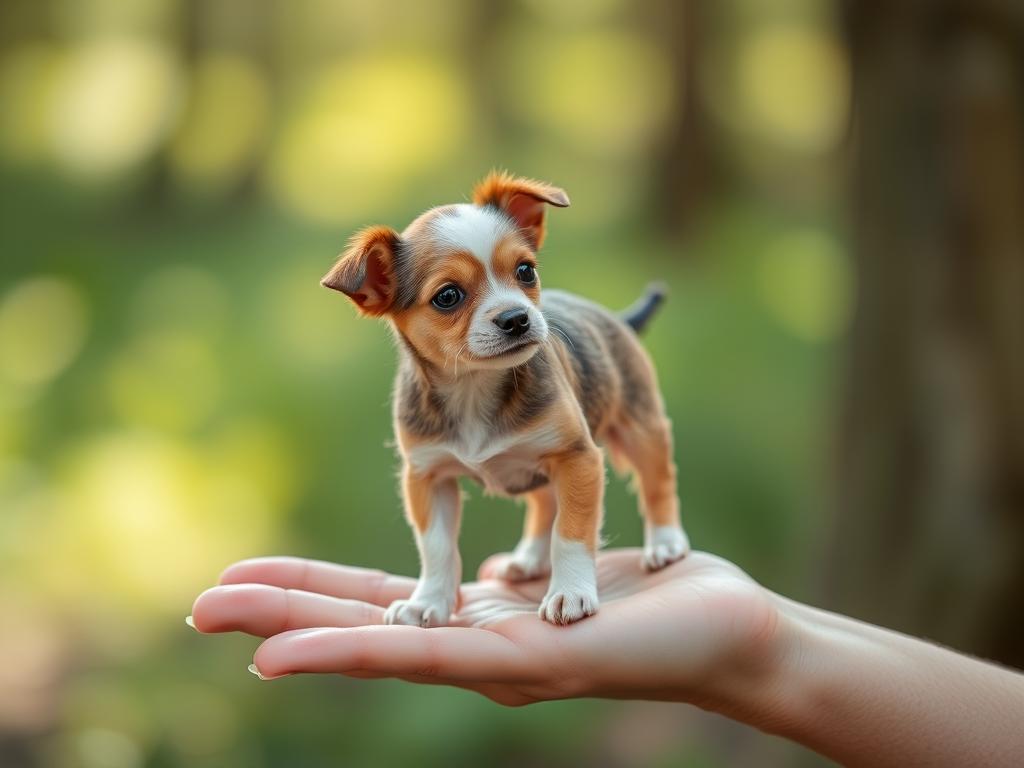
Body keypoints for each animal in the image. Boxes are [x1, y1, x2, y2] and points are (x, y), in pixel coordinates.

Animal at [319, 176, 688, 630]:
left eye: (525, 271)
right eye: (447, 296)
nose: (517, 318)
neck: (473, 388)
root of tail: (618, 319)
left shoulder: (577, 457)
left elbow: (571, 532)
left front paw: (570, 593)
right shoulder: (427, 476)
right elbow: (436, 547)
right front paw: (428, 602)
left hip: (640, 426)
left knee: (658, 482)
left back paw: (665, 543)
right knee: (545, 503)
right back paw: (529, 559)